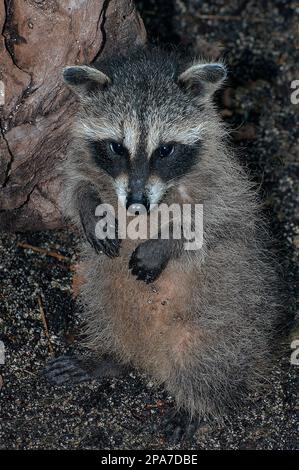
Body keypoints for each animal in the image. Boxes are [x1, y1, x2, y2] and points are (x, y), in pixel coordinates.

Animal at [45, 46, 282, 440]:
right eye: (117, 147)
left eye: (165, 150)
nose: (136, 202)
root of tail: (152, 360)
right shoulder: (81, 157)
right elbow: (75, 186)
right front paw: (89, 210)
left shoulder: (225, 178)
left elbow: (214, 219)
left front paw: (165, 242)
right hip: (106, 296)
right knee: (105, 310)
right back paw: (109, 358)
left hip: (221, 322)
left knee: (209, 357)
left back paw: (197, 406)